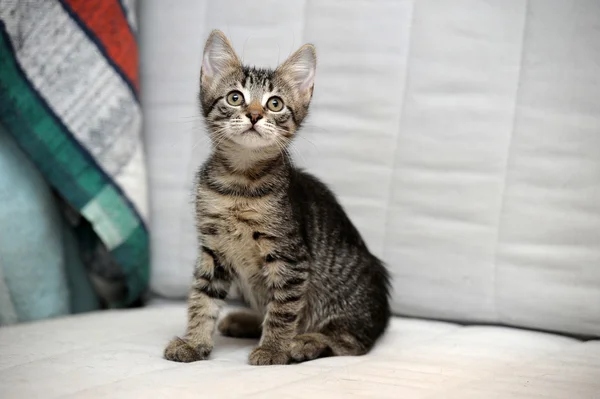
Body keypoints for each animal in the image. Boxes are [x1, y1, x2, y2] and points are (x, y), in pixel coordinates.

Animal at [163, 29, 390, 368]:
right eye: (235, 97)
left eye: (275, 104)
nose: (255, 115)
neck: (240, 183)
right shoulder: (213, 250)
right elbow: (202, 298)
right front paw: (194, 342)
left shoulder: (290, 257)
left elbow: (283, 309)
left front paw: (272, 349)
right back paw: (244, 321)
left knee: (351, 343)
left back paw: (305, 342)